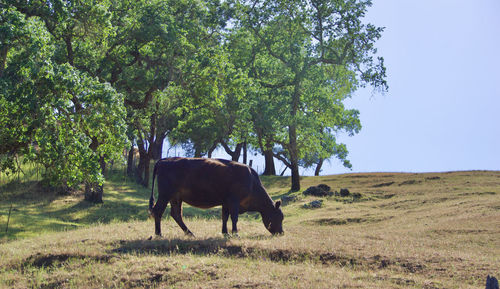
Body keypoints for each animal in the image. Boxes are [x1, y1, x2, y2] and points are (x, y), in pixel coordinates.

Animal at [148, 156, 284, 235]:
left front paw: (225, 233)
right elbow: (234, 217)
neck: (252, 182)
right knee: (158, 211)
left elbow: (224, 217)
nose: (281, 232)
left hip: (175, 197)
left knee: (176, 214)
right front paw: (235, 233)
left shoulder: (226, 202)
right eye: (280, 217)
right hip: (165, 194)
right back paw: (158, 234)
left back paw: (189, 233)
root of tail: (164, 160)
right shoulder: (234, 201)